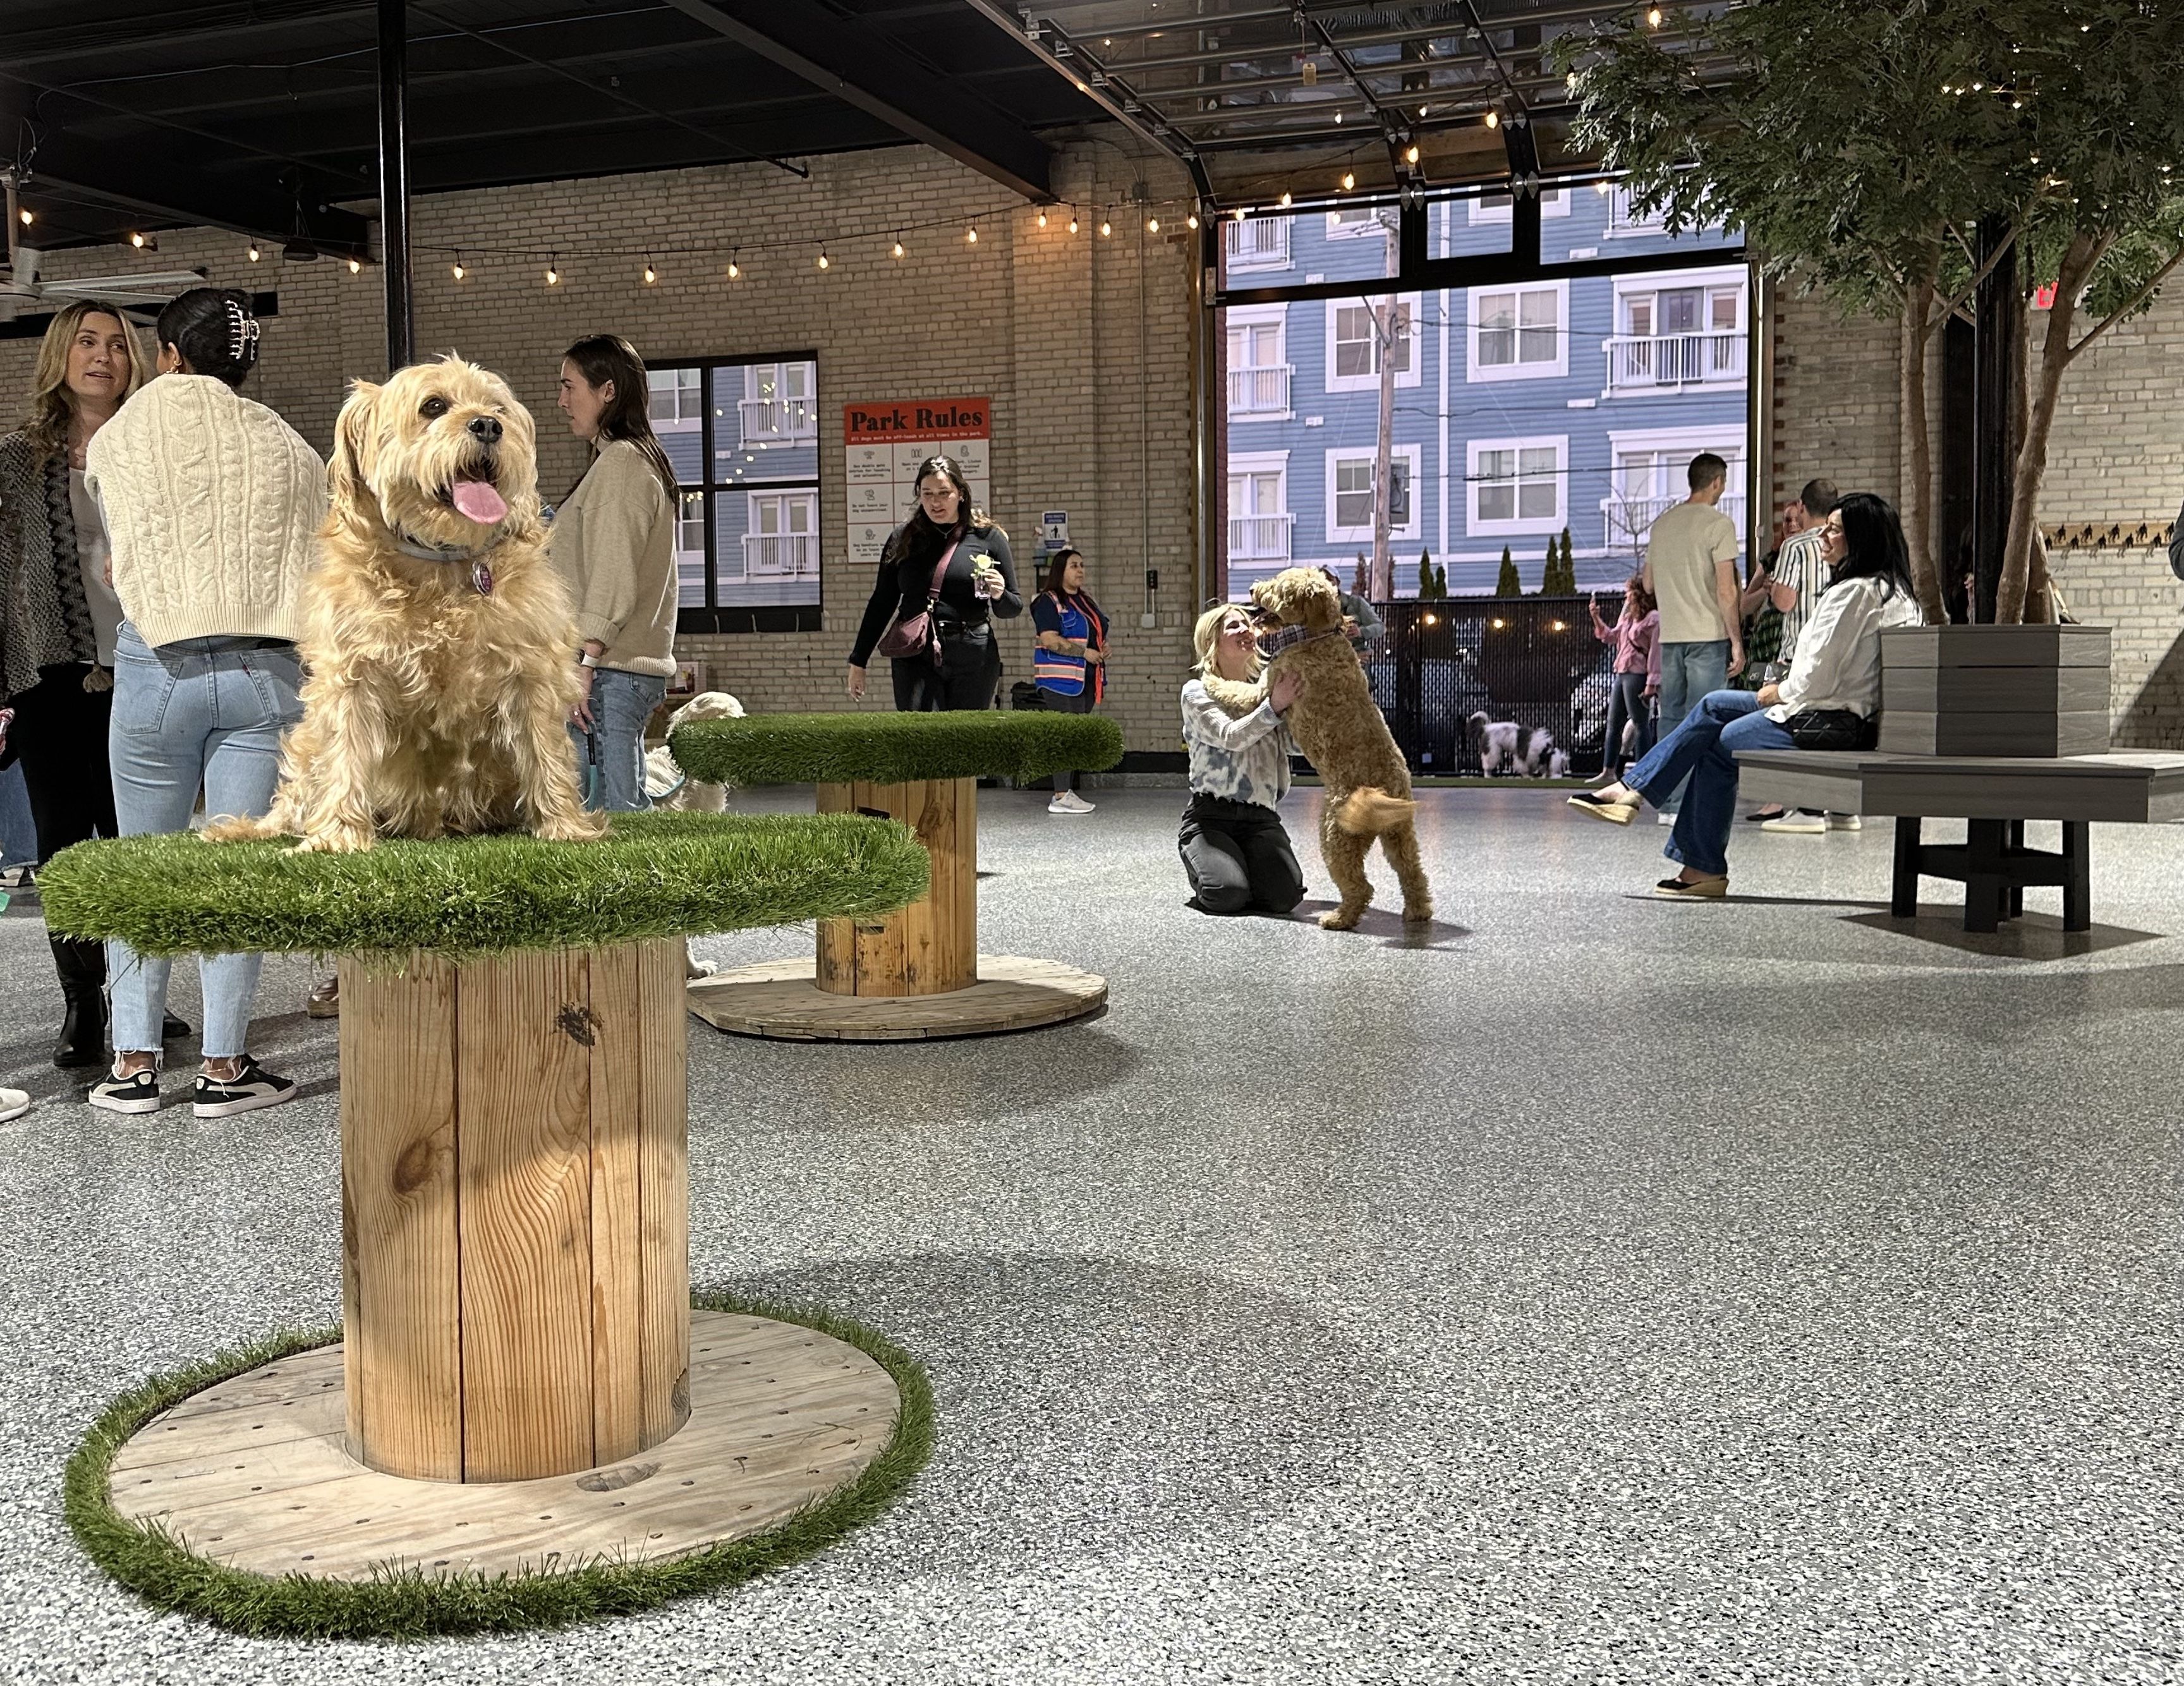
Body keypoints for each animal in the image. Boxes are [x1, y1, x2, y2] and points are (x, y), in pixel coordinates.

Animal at [205, 360, 602, 851]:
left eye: (498, 409)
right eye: (434, 406)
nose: (489, 426)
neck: (441, 563)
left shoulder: (532, 672)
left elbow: (545, 752)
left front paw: (565, 826)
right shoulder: (352, 676)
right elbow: (345, 756)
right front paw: (337, 835)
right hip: (307, 740)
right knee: (293, 798)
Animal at [1196, 567, 1433, 935]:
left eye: (1280, 586)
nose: (1251, 588)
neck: (1317, 636)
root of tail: (1383, 791)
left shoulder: (1267, 687)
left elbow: (1235, 689)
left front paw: (1209, 677)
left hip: (1335, 835)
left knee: (1360, 886)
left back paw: (1339, 918)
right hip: (1400, 835)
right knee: (1413, 873)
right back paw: (1418, 912)